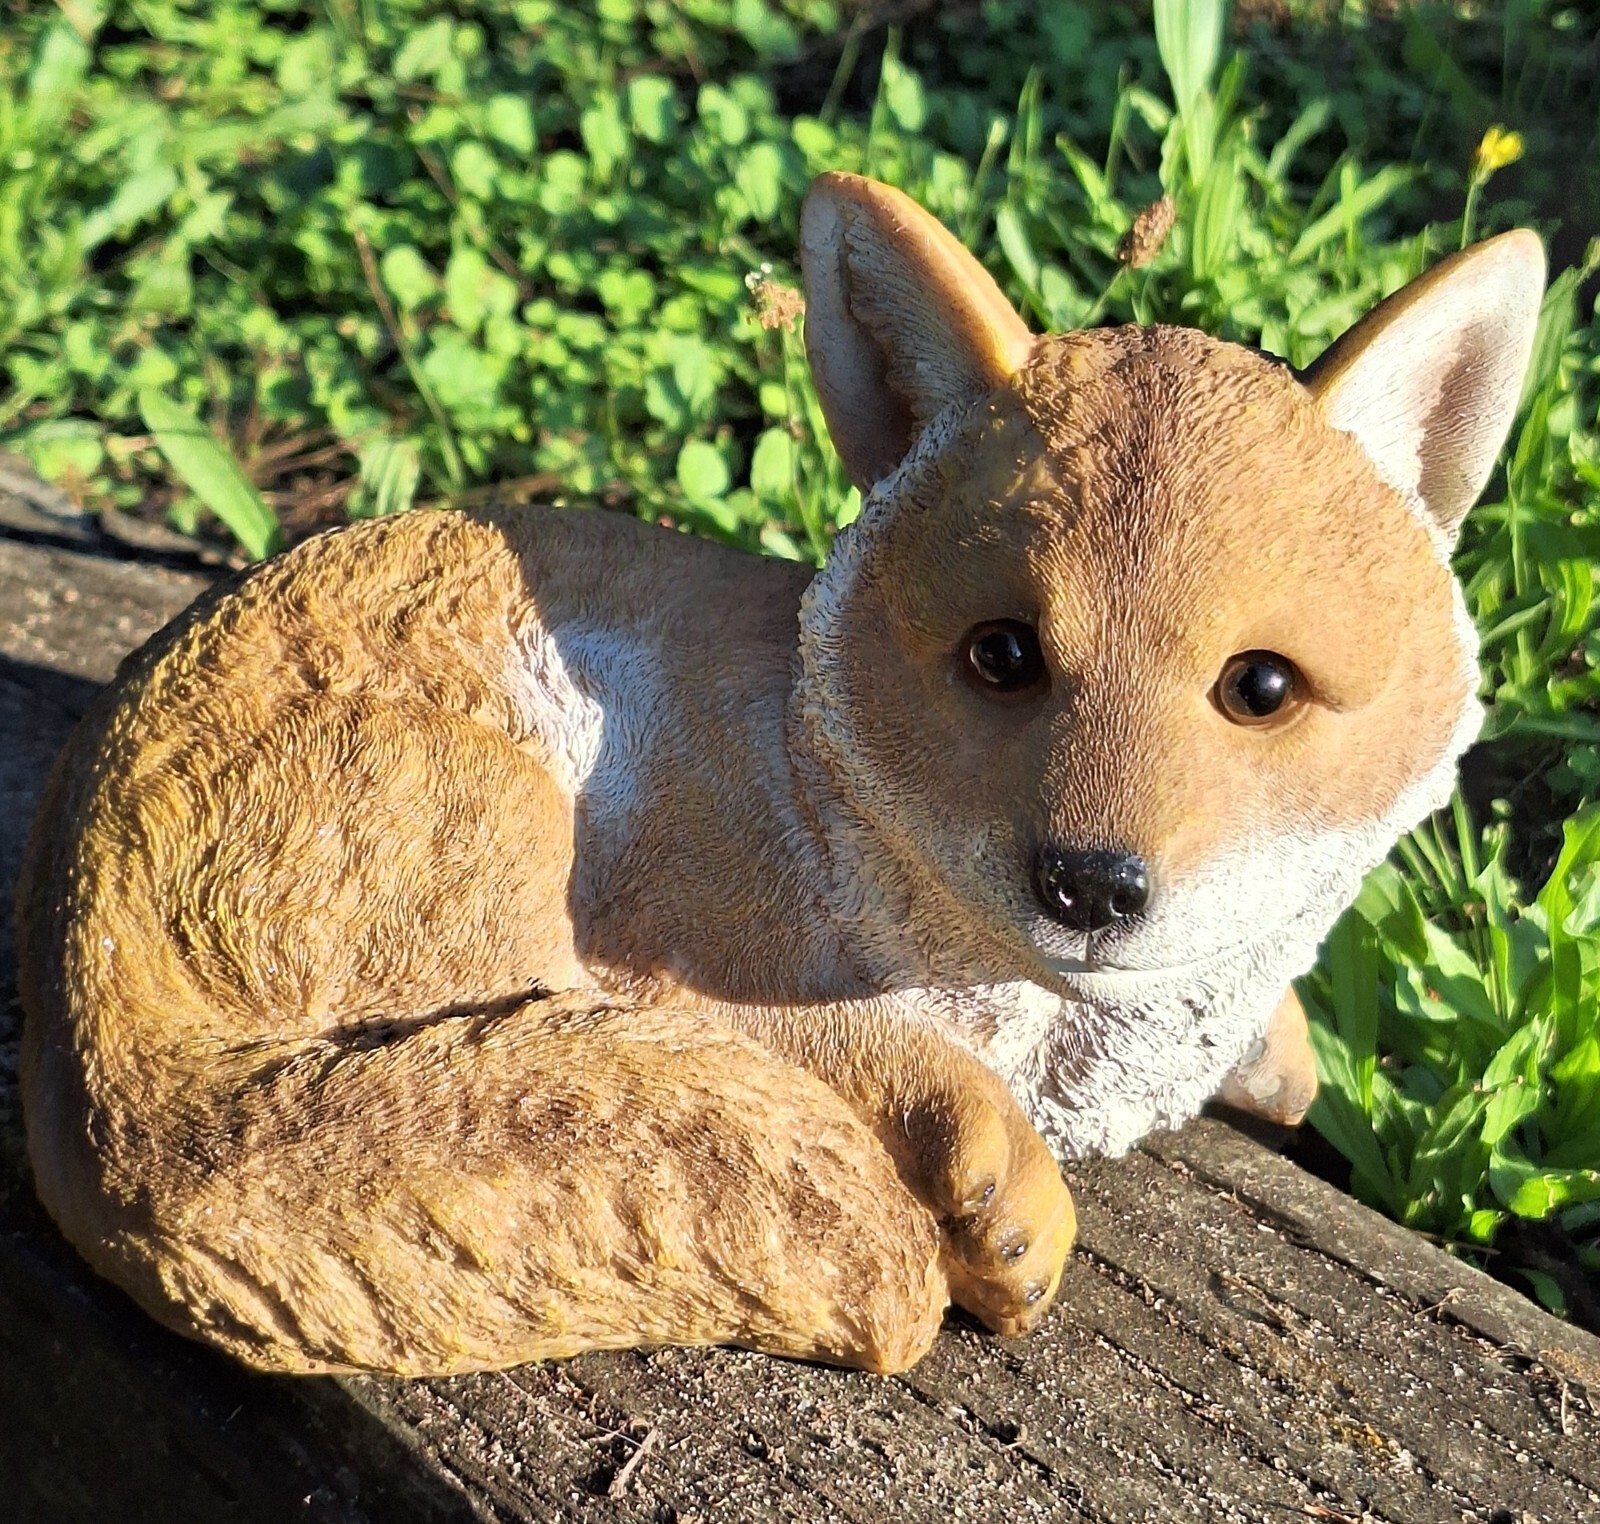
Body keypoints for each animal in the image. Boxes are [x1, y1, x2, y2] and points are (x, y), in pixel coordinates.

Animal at [16, 173, 1542, 1379]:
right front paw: (998, 1176)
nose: (1092, 886)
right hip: (493, 853)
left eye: (1261, 689)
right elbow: (878, 1050)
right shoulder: (670, 950)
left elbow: (1278, 1063)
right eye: (1002, 656)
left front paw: (1275, 1048)